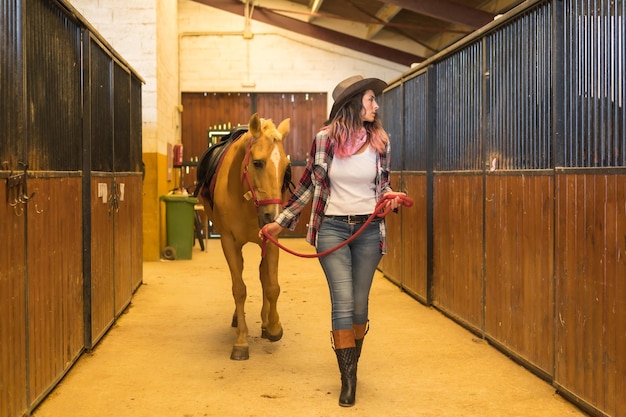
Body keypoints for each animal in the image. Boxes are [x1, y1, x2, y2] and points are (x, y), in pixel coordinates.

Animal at [196, 112, 292, 360]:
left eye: (286, 167)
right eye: (257, 162)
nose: (273, 215)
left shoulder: (271, 239)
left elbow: (272, 285)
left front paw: (274, 327)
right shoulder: (228, 242)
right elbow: (238, 289)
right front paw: (241, 341)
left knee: (262, 276)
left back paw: (266, 322)